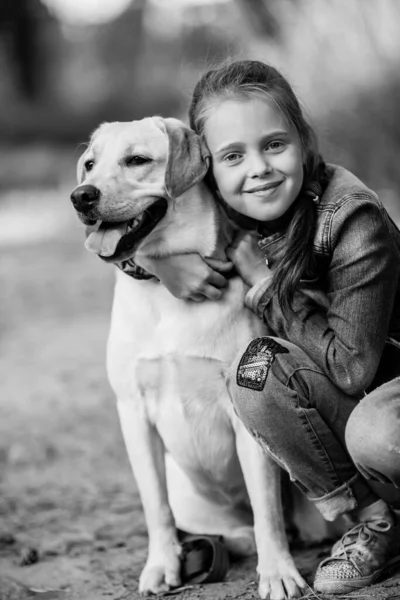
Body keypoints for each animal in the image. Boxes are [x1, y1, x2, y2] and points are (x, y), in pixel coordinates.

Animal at [70, 117, 310, 600]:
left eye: (137, 160)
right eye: (89, 164)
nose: (81, 196)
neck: (166, 292)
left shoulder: (242, 411)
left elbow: (268, 510)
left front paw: (278, 572)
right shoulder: (133, 412)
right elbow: (155, 506)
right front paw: (162, 565)